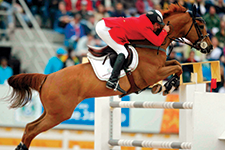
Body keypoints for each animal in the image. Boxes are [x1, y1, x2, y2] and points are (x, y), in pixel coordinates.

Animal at [3, 2, 213, 150]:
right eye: (200, 25)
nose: (209, 47)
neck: (152, 43)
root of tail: (47, 78)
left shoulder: (161, 67)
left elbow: (176, 64)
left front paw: (163, 86)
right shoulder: (152, 73)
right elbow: (177, 67)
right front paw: (166, 86)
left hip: (51, 111)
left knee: (29, 127)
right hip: (60, 113)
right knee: (32, 129)